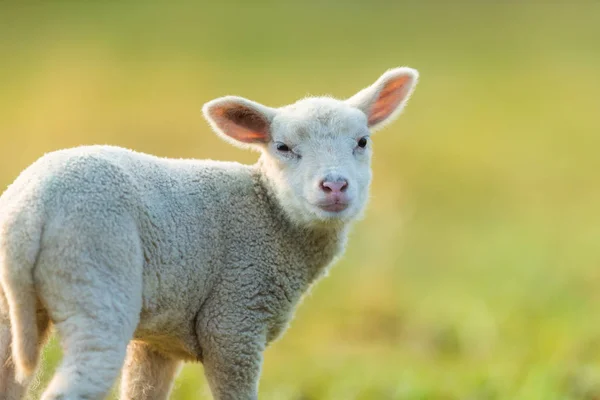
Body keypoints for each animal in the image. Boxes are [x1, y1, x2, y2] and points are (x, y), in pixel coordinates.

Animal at [0, 67, 418, 398]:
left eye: (362, 142)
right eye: (282, 147)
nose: (334, 186)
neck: (271, 213)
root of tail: (32, 210)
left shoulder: (159, 340)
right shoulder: (234, 320)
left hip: (13, 306)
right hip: (95, 274)